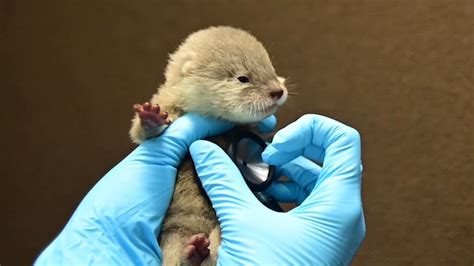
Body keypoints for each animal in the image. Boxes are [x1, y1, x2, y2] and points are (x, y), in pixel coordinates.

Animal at [128, 25, 286, 266]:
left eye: (271, 69)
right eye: (243, 78)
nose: (278, 90)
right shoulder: (168, 104)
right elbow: (141, 134)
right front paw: (150, 118)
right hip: (174, 235)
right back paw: (192, 252)